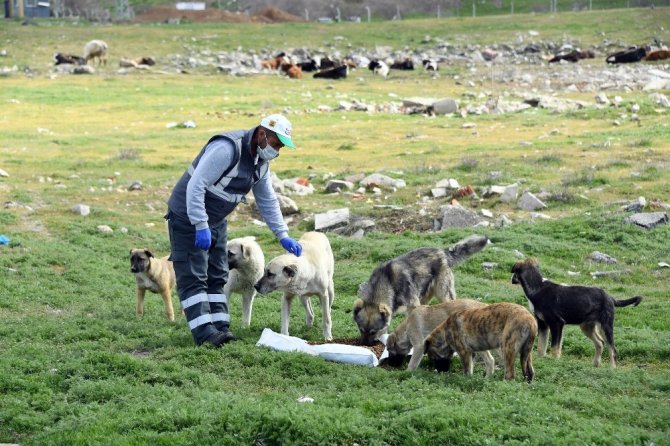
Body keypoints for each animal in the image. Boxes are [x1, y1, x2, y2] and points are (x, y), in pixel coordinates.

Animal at [512, 256, 644, 368]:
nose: (511, 279)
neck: (538, 287)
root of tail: (611, 298)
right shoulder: (543, 324)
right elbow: (541, 346)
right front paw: (542, 360)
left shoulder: (557, 323)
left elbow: (555, 347)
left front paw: (554, 362)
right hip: (587, 326)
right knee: (600, 343)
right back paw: (595, 364)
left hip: (606, 326)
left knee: (612, 349)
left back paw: (612, 369)